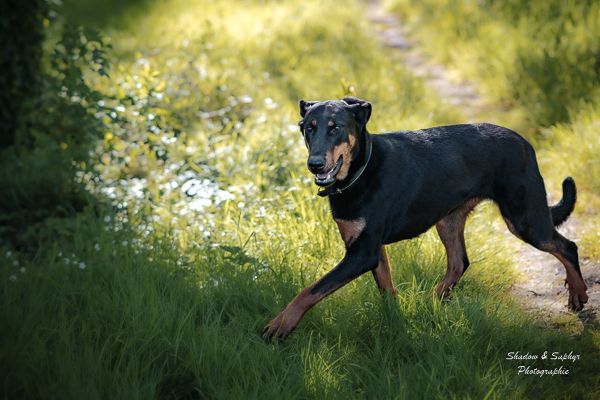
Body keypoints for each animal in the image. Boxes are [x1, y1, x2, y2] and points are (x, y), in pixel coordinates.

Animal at [262, 97, 584, 340]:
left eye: (336, 128)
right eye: (308, 128)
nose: (314, 164)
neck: (361, 170)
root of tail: (525, 143)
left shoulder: (361, 253)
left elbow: (309, 290)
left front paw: (279, 325)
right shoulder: (371, 249)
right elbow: (386, 290)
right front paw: (395, 323)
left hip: (524, 219)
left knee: (567, 247)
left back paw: (578, 295)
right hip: (449, 220)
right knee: (459, 261)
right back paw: (436, 300)